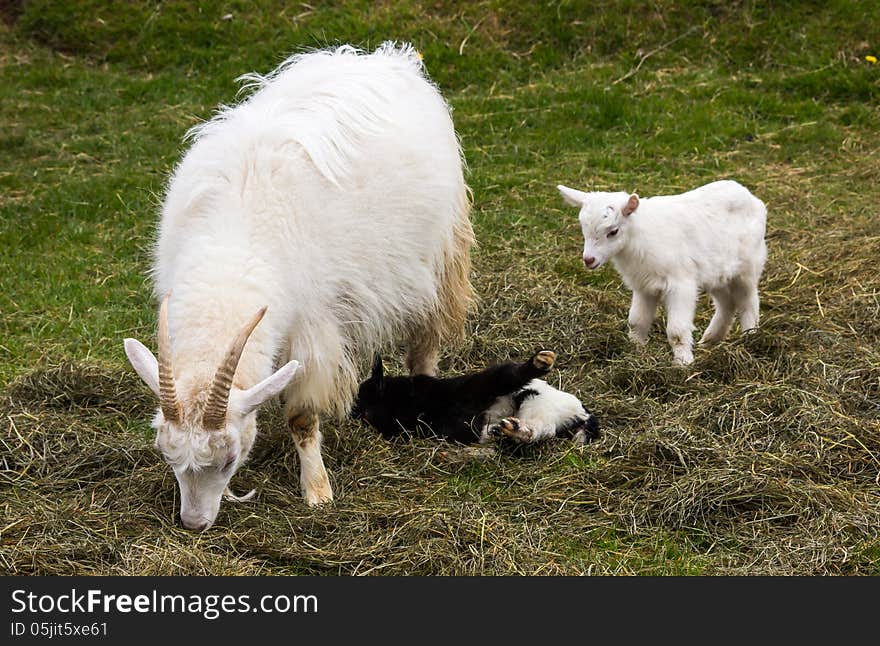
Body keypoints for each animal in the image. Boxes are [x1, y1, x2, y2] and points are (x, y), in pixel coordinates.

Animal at [124, 44, 474, 532]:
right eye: (165, 453)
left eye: (229, 458)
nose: (194, 523)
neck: (234, 248)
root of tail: (386, 59)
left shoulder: (313, 327)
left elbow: (303, 417)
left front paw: (317, 492)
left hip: (441, 255)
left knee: (425, 338)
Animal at [350, 350, 600, 446]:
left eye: (363, 394)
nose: (353, 411)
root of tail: (584, 412)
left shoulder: (482, 385)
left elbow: (509, 374)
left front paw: (540, 362)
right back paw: (506, 431)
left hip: (535, 402)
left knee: (538, 428)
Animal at [560, 180, 768, 368]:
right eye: (583, 228)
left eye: (613, 231)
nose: (589, 260)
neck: (638, 238)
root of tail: (750, 196)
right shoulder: (643, 285)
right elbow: (637, 321)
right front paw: (635, 350)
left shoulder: (680, 284)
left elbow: (676, 330)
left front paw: (683, 363)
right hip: (717, 273)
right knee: (727, 303)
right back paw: (709, 340)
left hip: (748, 267)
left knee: (748, 300)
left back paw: (750, 337)